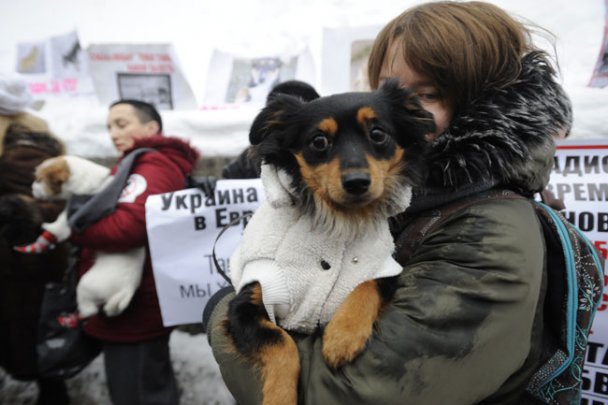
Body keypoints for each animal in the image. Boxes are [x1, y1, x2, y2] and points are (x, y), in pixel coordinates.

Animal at [23, 155, 145, 318]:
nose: (31, 189)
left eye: (39, 179)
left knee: (89, 310)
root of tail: (129, 287)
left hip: (86, 285)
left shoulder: (72, 214)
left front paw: (49, 227)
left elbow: (61, 223)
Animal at [224, 79, 435, 405]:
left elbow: (366, 285)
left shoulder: (385, 269)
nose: (357, 182)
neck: (339, 221)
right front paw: (280, 397)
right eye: (318, 141)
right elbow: (281, 342)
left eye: (378, 134)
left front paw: (342, 336)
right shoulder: (246, 303)